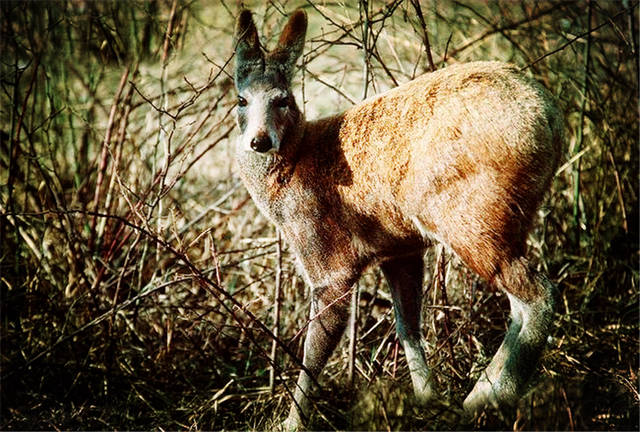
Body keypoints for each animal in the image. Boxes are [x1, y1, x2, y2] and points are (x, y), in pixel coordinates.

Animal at [232, 8, 564, 430]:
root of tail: (551, 115)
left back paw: (486, 397)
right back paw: (481, 393)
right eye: (241, 99)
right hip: (508, 218)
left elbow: (313, 353)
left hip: (473, 217)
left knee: (538, 295)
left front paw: (292, 422)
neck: (292, 168)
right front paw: (426, 399)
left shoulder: (328, 262)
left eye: (284, 100)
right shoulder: (399, 250)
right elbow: (408, 326)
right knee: (520, 304)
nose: (260, 141)